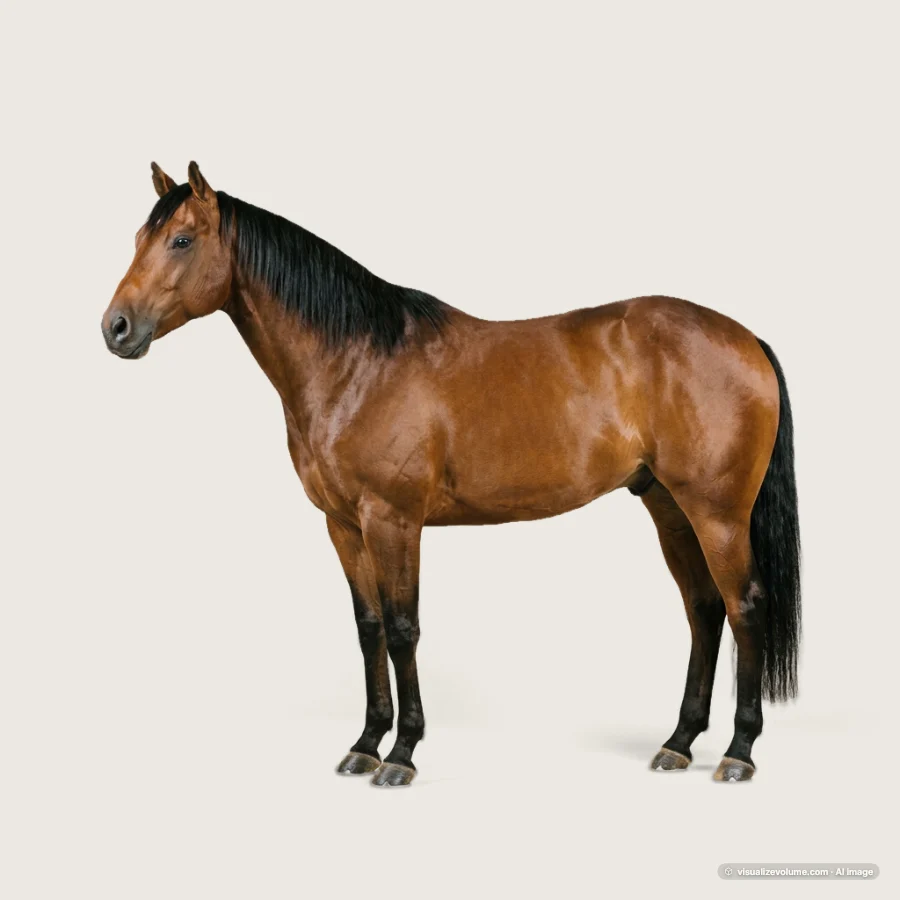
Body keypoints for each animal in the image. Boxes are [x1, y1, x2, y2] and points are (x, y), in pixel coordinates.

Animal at [101, 162, 800, 787]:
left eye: (182, 240)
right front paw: (364, 744)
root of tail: (746, 339)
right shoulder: (342, 526)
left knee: (744, 607)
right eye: (139, 237)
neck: (357, 361)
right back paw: (679, 743)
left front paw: (402, 754)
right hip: (668, 507)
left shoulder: (394, 520)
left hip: (717, 514)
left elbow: (403, 629)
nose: (116, 328)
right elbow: (369, 629)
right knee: (704, 610)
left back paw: (738, 752)